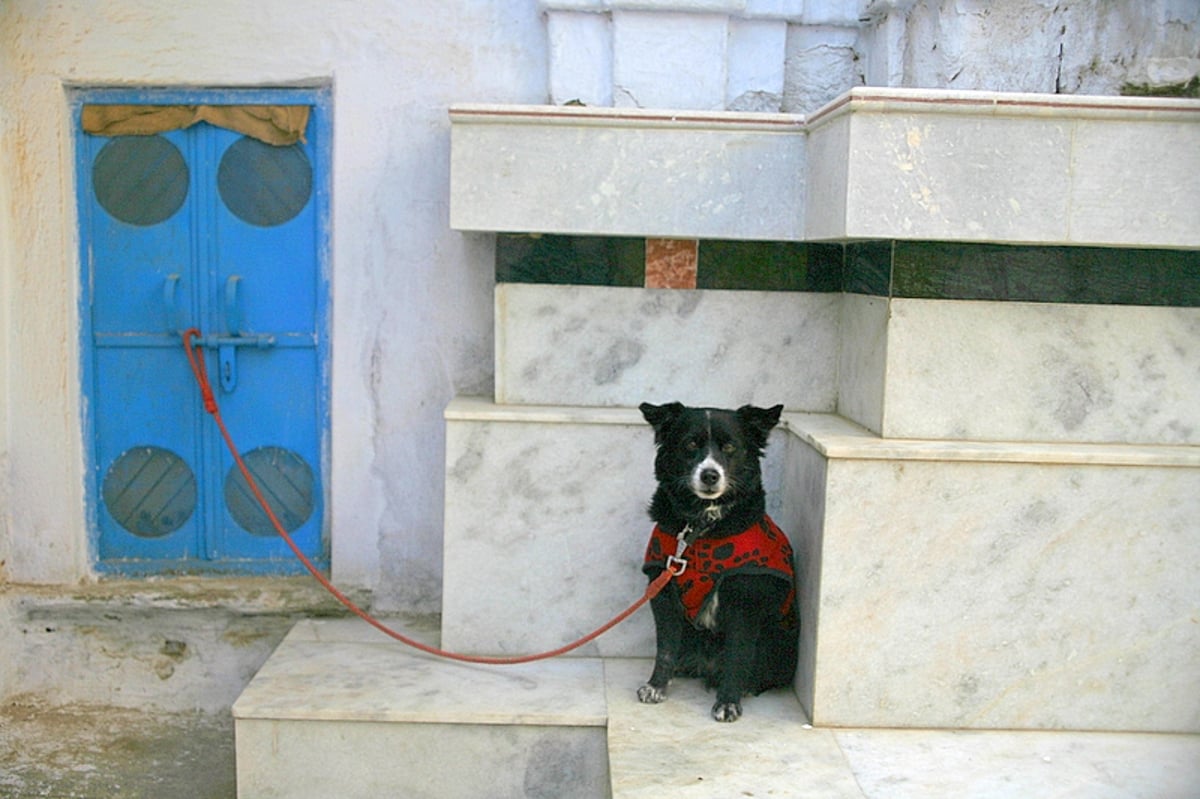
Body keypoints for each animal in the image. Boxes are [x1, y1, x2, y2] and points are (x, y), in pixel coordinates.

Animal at [638, 400, 796, 719]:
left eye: (731, 447)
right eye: (690, 444)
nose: (710, 475)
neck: (701, 526)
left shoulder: (745, 601)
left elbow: (737, 655)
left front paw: (728, 702)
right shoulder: (662, 590)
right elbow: (665, 648)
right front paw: (656, 686)